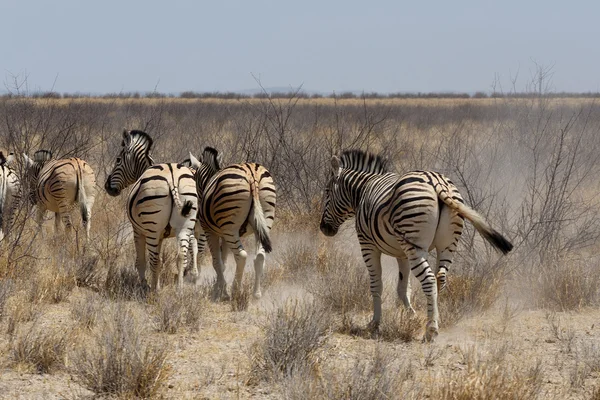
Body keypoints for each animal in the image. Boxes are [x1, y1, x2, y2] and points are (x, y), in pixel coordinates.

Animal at [106, 130, 200, 290]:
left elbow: (141, 261)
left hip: (152, 227)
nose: (107, 186)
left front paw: (144, 284)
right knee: (181, 256)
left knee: (154, 260)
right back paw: (179, 289)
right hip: (185, 223)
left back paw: (154, 290)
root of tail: (172, 178)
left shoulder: (138, 230)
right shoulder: (162, 234)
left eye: (118, 160)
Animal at [189, 148, 278, 298]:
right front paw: (218, 286)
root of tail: (251, 175)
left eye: (195, 179)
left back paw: (235, 291)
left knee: (241, 256)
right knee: (260, 257)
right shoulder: (224, 235)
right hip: (264, 221)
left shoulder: (210, 231)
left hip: (231, 228)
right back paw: (256, 294)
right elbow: (223, 262)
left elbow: (217, 262)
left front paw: (221, 290)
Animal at [318, 150, 510, 340]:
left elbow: (376, 284)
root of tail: (437, 183)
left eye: (327, 192)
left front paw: (375, 323)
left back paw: (430, 330)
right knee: (440, 278)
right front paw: (412, 315)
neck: (362, 191)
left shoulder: (367, 245)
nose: (323, 228)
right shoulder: (402, 253)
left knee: (429, 279)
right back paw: (434, 319)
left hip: (415, 245)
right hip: (447, 245)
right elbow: (403, 288)